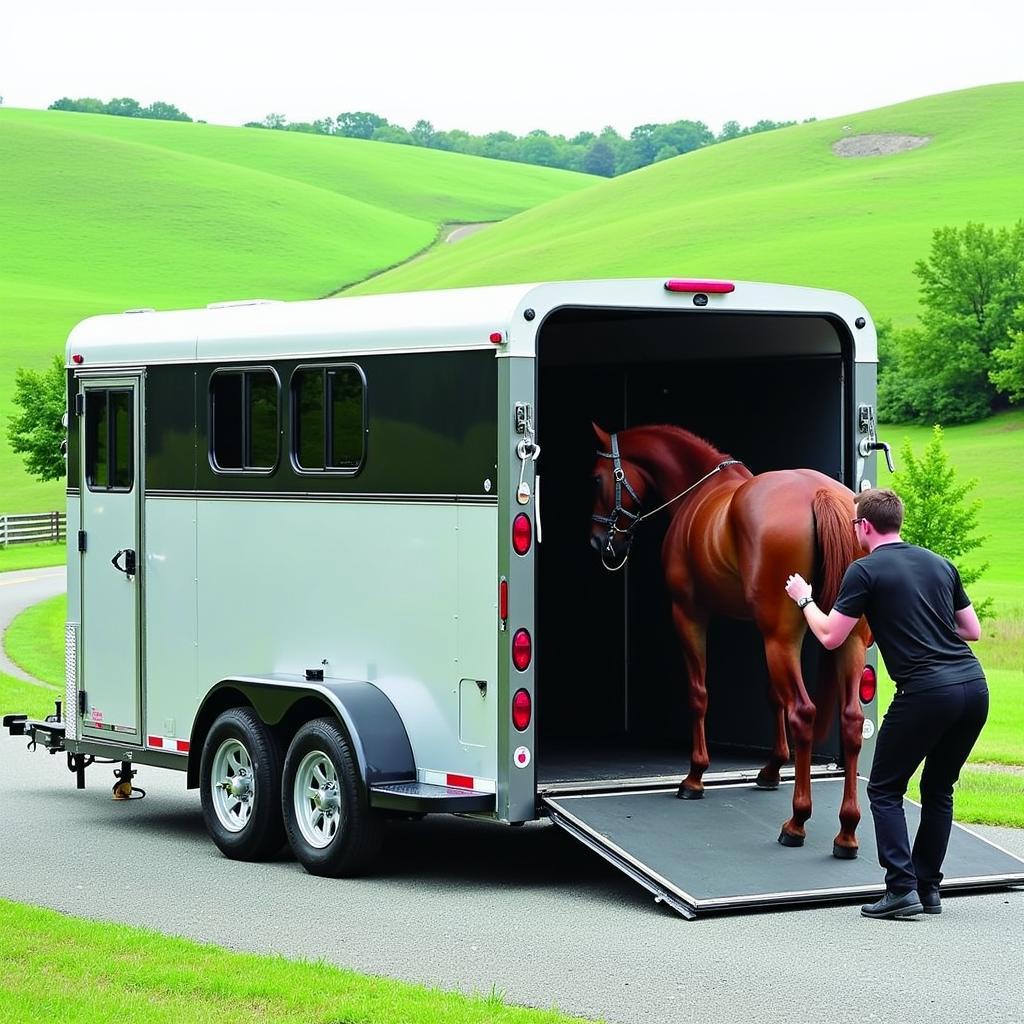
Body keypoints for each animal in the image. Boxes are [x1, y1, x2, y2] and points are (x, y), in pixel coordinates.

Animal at [589, 423, 868, 856]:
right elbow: (772, 696)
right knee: (851, 721)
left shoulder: (689, 613)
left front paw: (695, 776)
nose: (598, 540)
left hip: (782, 637)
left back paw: (797, 822)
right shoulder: (760, 627)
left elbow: (699, 693)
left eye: (599, 478)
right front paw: (772, 769)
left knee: (803, 712)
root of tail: (818, 493)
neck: (700, 491)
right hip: (841, 638)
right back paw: (847, 831)